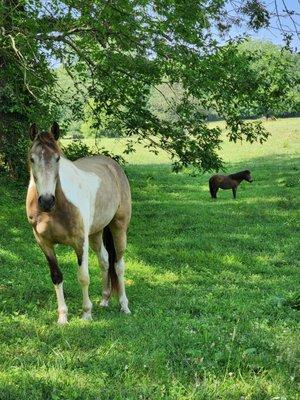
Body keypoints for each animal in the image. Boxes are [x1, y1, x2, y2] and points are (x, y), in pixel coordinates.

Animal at [26, 122, 132, 324]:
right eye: (32, 159)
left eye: (57, 158)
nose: (46, 201)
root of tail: (112, 165)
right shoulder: (44, 243)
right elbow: (56, 277)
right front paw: (62, 317)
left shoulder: (80, 242)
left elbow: (83, 277)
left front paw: (86, 314)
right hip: (96, 233)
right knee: (104, 260)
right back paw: (105, 300)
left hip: (119, 227)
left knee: (118, 265)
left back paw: (124, 306)